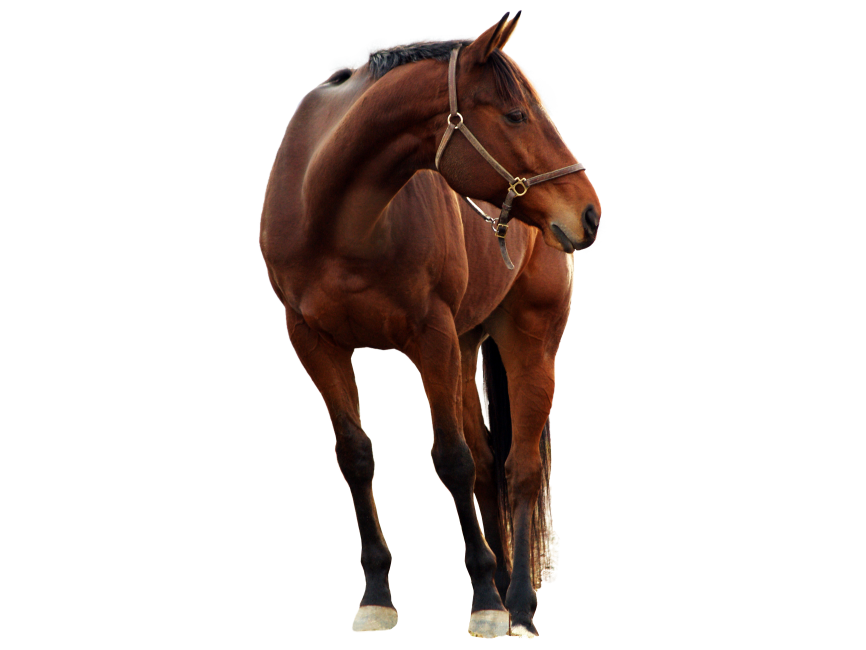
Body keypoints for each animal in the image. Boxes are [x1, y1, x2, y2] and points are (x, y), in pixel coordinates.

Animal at [258, 10, 603, 639]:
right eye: (515, 114)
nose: (588, 214)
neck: (336, 216)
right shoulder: (315, 343)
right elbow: (357, 456)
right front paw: (377, 595)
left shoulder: (431, 340)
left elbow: (452, 460)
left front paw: (485, 600)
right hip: (465, 350)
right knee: (491, 465)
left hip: (530, 343)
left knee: (519, 468)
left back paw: (517, 605)